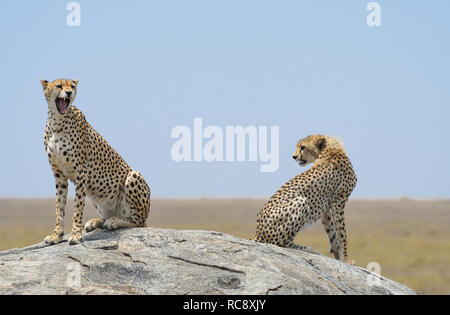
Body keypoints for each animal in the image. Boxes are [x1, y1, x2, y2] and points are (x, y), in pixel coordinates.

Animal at [40, 78, 151, 246]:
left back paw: (115, 221)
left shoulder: (81, 172)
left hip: (133, 176)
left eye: (72, 86)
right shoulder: (58, 173)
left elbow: (78, 206)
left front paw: (76, 235)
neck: (57, 122)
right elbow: (59, 206)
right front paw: (57, 235)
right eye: (59, 86)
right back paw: (96, 222)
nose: (69, 93)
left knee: (138, 221)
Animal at [255, 135, 356, 264]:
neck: (329, 150)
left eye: (303, 147)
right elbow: (342, 233)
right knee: (281, 243)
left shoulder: (327, 207)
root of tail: (258, 233)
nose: (294, 156)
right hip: (301, 201)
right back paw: (309, 249)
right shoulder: (339, 201)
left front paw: (338, 256)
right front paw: (347, 260)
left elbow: (333, 233)